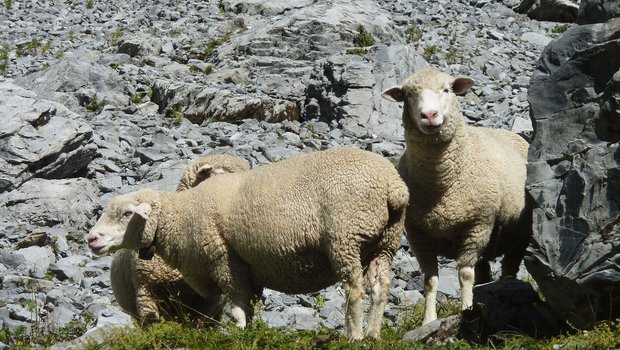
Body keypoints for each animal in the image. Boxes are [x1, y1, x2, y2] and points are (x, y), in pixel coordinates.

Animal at [382, 67, 532, 326]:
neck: (440, 185)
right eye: (409, 94)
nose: (429, 114)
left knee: (507, 271)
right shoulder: (417, 234)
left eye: (446, 90)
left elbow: (464, 275)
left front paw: (466, 310)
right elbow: (430, 280)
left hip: (518, 236)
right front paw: (428, 320)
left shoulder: (477, 226)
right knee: (484, 273)